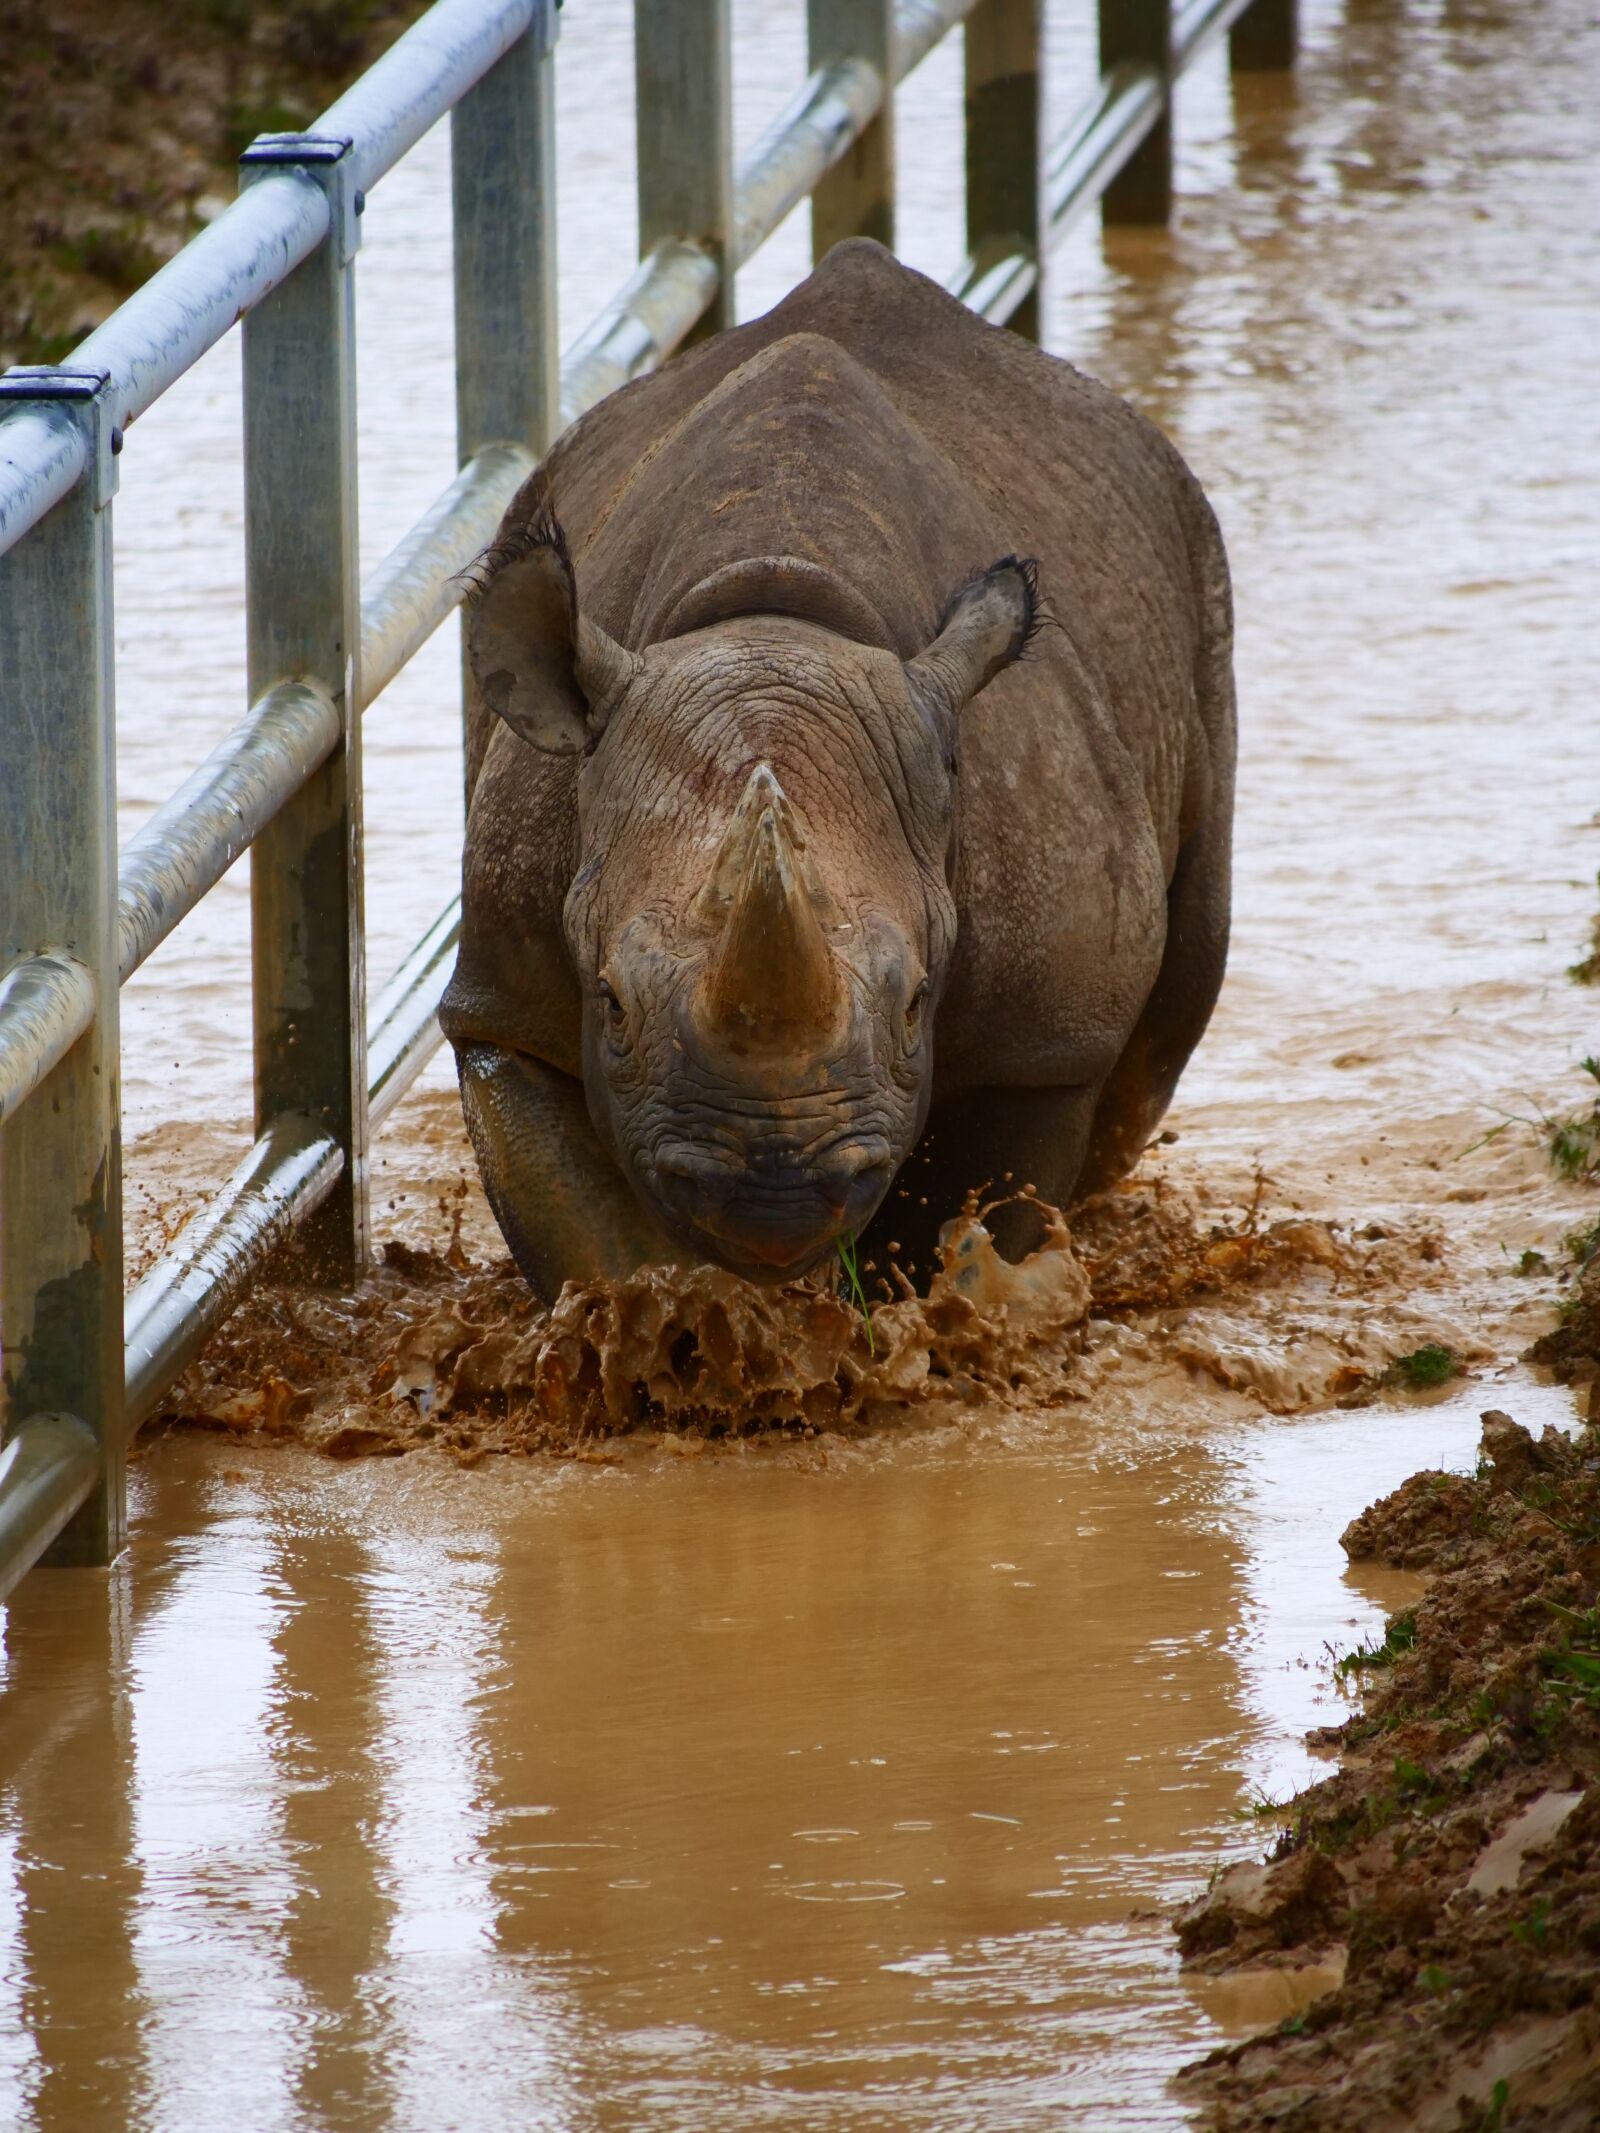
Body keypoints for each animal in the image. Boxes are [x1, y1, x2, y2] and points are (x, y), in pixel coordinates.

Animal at [439, 241, 1234, 1297]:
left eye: (916, 1000)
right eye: (608, 999)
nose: (770, 1194)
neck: (778, 619)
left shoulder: (1046, 1038)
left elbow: (948, 1232)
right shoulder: (504, 999)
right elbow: (592, 1244)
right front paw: (672, 1324)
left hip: (1195, 561)